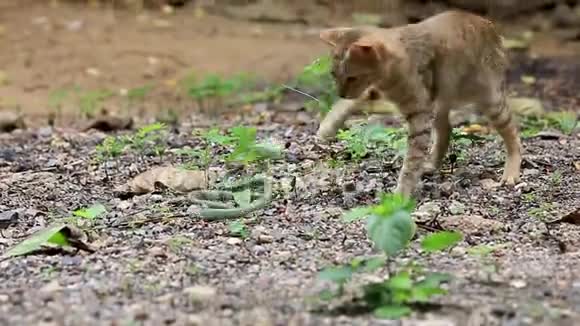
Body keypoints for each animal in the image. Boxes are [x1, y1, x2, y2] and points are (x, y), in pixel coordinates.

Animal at [320, 10, 524, 197]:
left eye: (352, 78)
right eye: (333, 74)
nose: (340, 92)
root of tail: (489, 25)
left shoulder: (419, 113)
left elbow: (411, 160)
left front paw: (401, 195)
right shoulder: (377, 92)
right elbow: (344, 105)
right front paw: (327, 127)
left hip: (491, 101)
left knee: (513, 134)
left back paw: (511, 172)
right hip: (441, 102)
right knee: (445, 131)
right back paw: (432, 164)